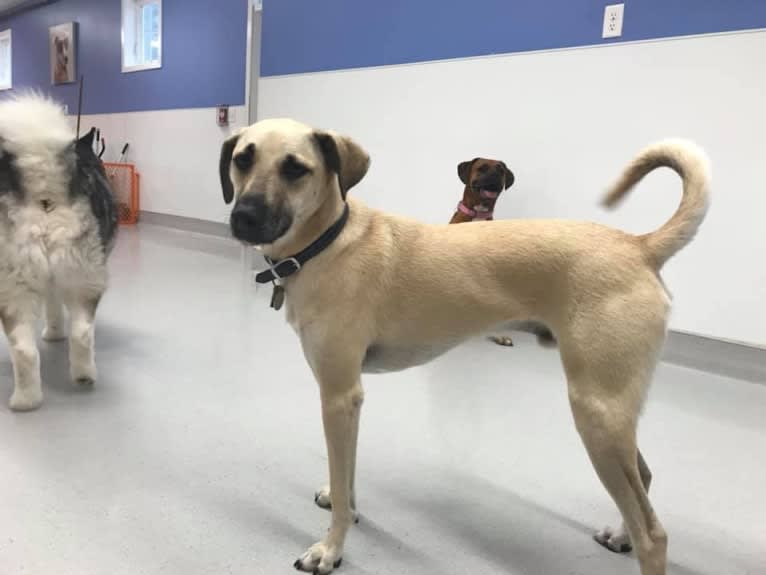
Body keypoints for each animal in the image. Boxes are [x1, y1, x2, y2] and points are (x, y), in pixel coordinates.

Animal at [0, 95, 117, 410]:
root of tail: (45, 195)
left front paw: (53, 335)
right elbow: (54, 311)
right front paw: (54, 334)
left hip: (18, 287)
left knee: (27, 349)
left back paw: (27, 400)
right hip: (81, 280)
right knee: (80, 333)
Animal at [219, 118, 712, 575]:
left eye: (295, 168)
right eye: (243, 159)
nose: (243, 218)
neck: (328, 242)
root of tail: (639, 246)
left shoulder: (339, 395)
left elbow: (342, 484)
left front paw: (331, 548)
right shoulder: (349, 399)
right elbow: (347, 472)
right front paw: (350, 509)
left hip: (598, 413)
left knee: (654, 533)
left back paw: (639, 537)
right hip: (612, 413)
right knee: (643, 476)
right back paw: (621, 534)